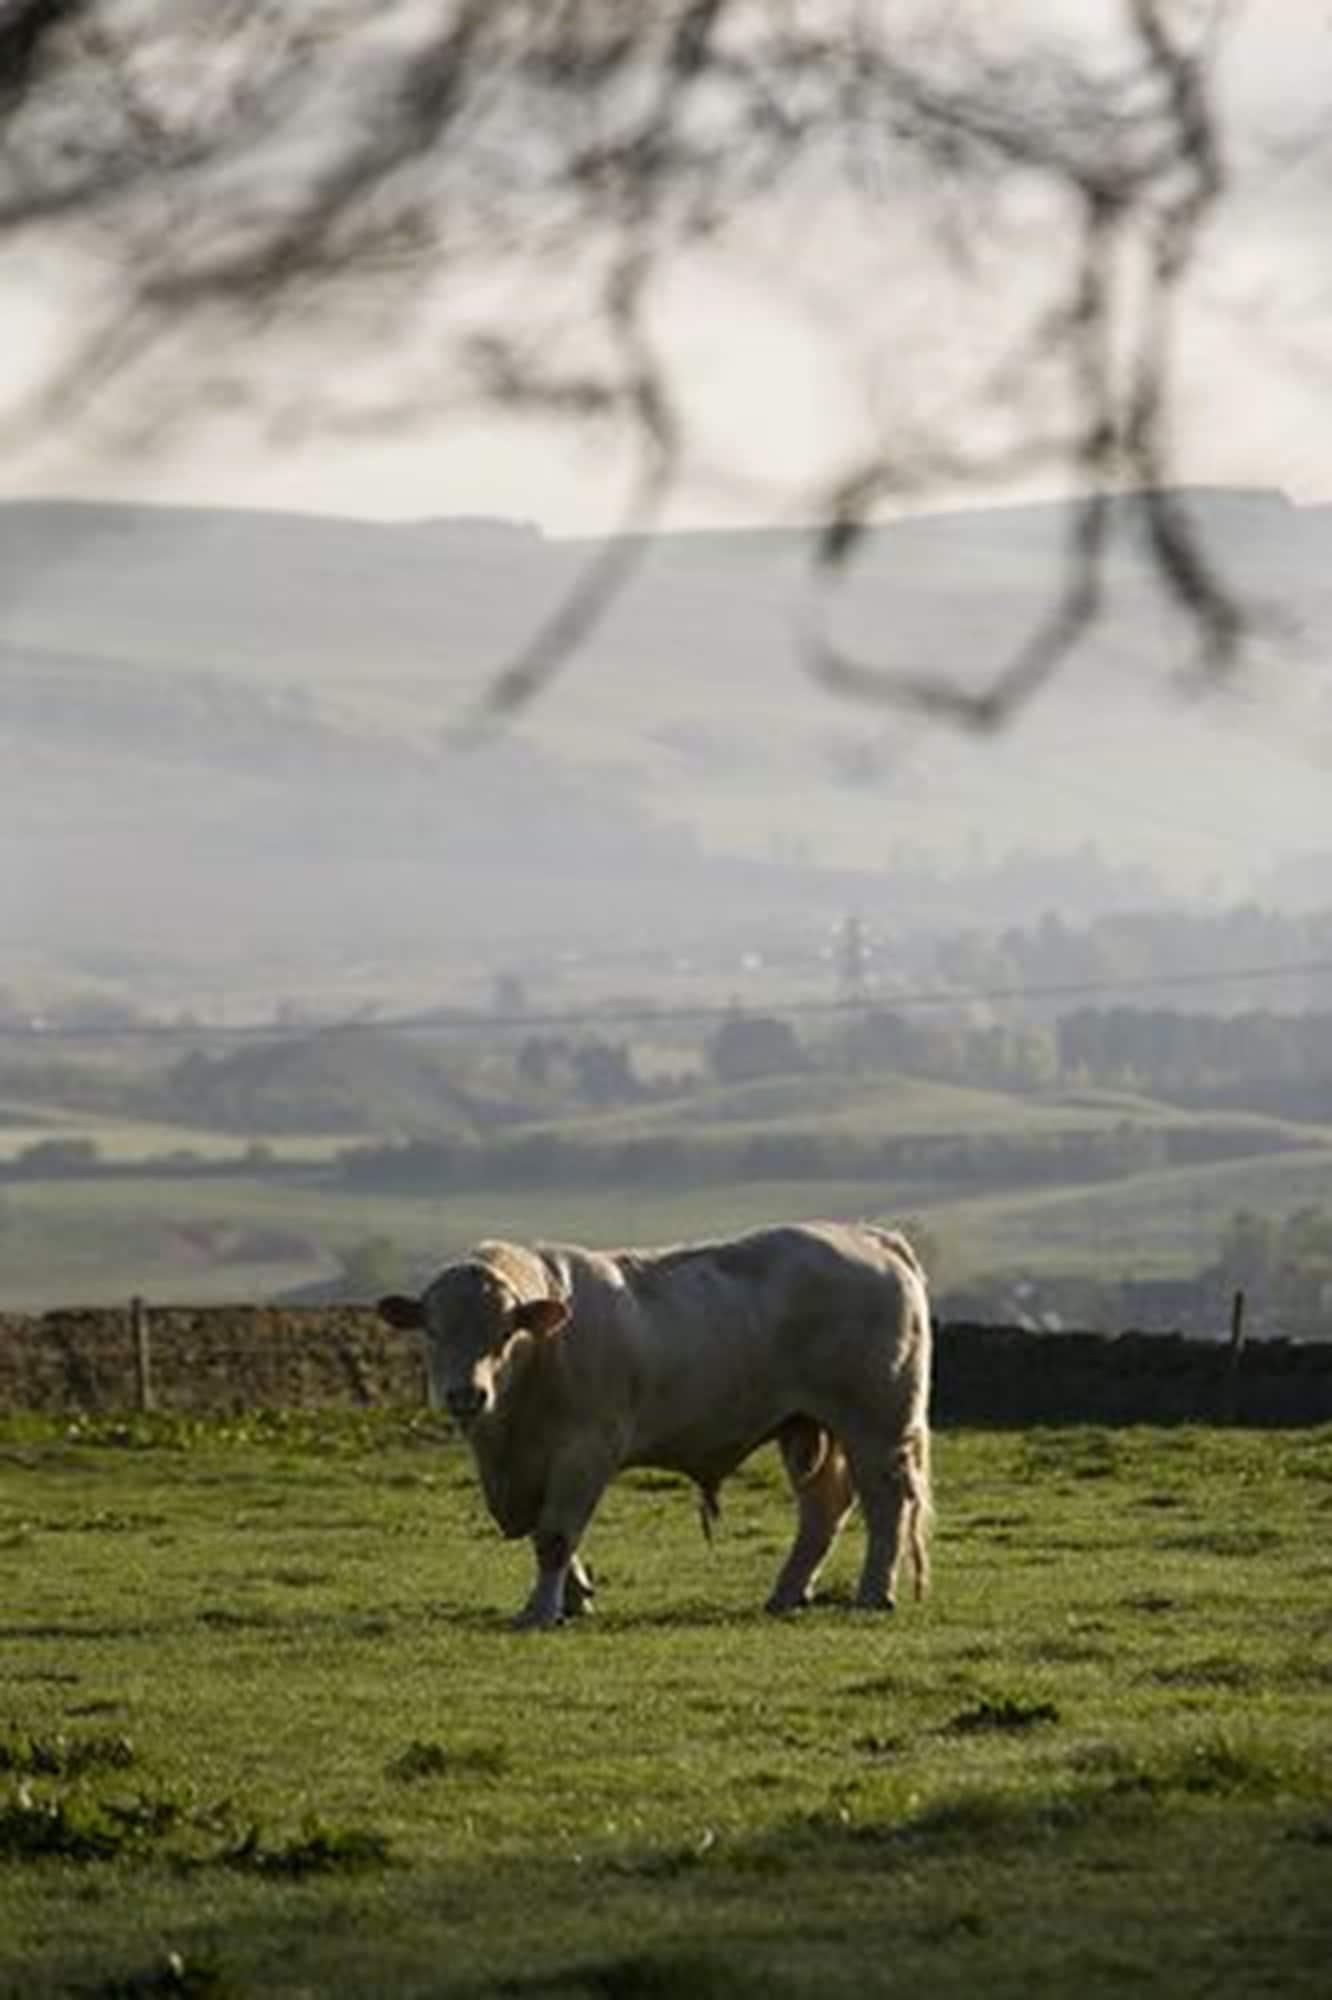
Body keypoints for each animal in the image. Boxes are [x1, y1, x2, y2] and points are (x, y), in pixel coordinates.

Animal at [377, 1220, 931, 1629]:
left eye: (505, 1333)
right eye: (432, 1330)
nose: (466, 1394)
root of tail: (871, 1236)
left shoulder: (585, 1450)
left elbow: (555, 1534)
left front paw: (540, 1610)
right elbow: (550, 1532)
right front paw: (575, 1598)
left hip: (876, 1426)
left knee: (887, 1502)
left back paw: (873, 1593)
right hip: (809, 1425)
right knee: (824, 1508)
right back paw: (786, 1593)